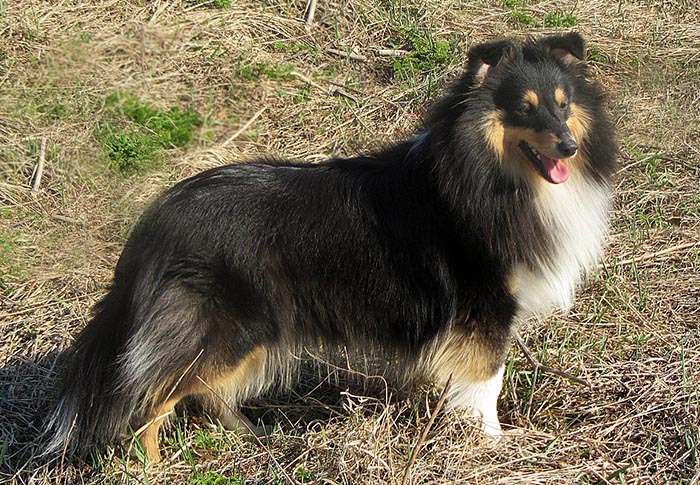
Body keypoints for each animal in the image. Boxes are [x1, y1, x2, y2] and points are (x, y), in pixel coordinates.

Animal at [47, 32, 616, 463]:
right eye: (524, 109)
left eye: (564, 105)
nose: (569, 147)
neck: (489, 173)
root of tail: (155, 223)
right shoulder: (484, 310)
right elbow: (487, 384)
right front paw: (492, 442)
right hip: (224, 330)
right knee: (149, 397)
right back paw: (155, 466)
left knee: (201, 394)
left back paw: (253, 434)